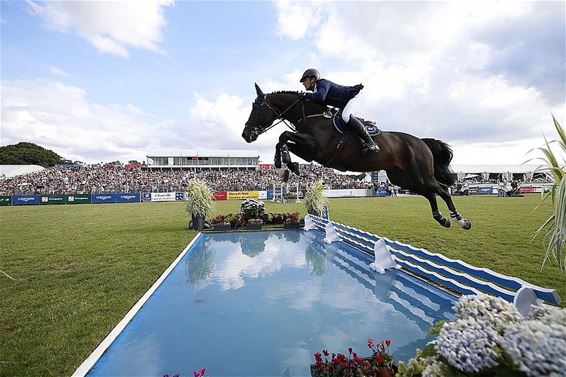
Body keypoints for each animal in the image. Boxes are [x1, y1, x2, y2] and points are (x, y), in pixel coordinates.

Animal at [242, 83, 472, 229]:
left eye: (256, 107)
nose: (246, 135)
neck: (312, 115)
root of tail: (421, 142)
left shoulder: (316, 149)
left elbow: (283, 135)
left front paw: (284, 162)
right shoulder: (310, 152)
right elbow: (284, 138)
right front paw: (287, 163)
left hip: (420, 174)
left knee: (442, 190)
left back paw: (462, 221)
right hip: (402, 178)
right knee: (430, 193)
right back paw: (442, 219)